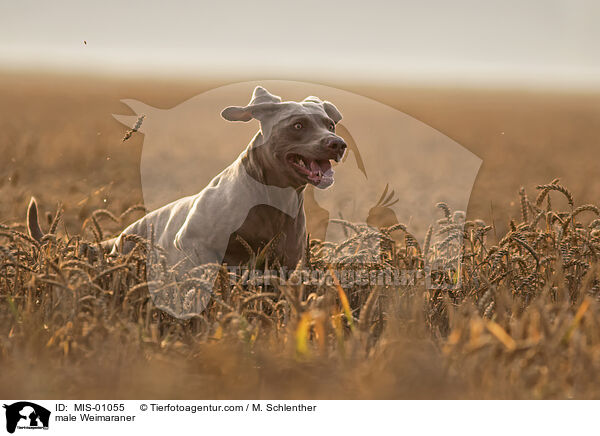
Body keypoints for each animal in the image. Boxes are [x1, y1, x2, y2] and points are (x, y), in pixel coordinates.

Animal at [28, 87, 346, 270]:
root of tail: (120, 236)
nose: (338, 144)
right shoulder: (193, 242)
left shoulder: (286, 266)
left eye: (330, 124)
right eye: (298, 125)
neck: (271, 198)